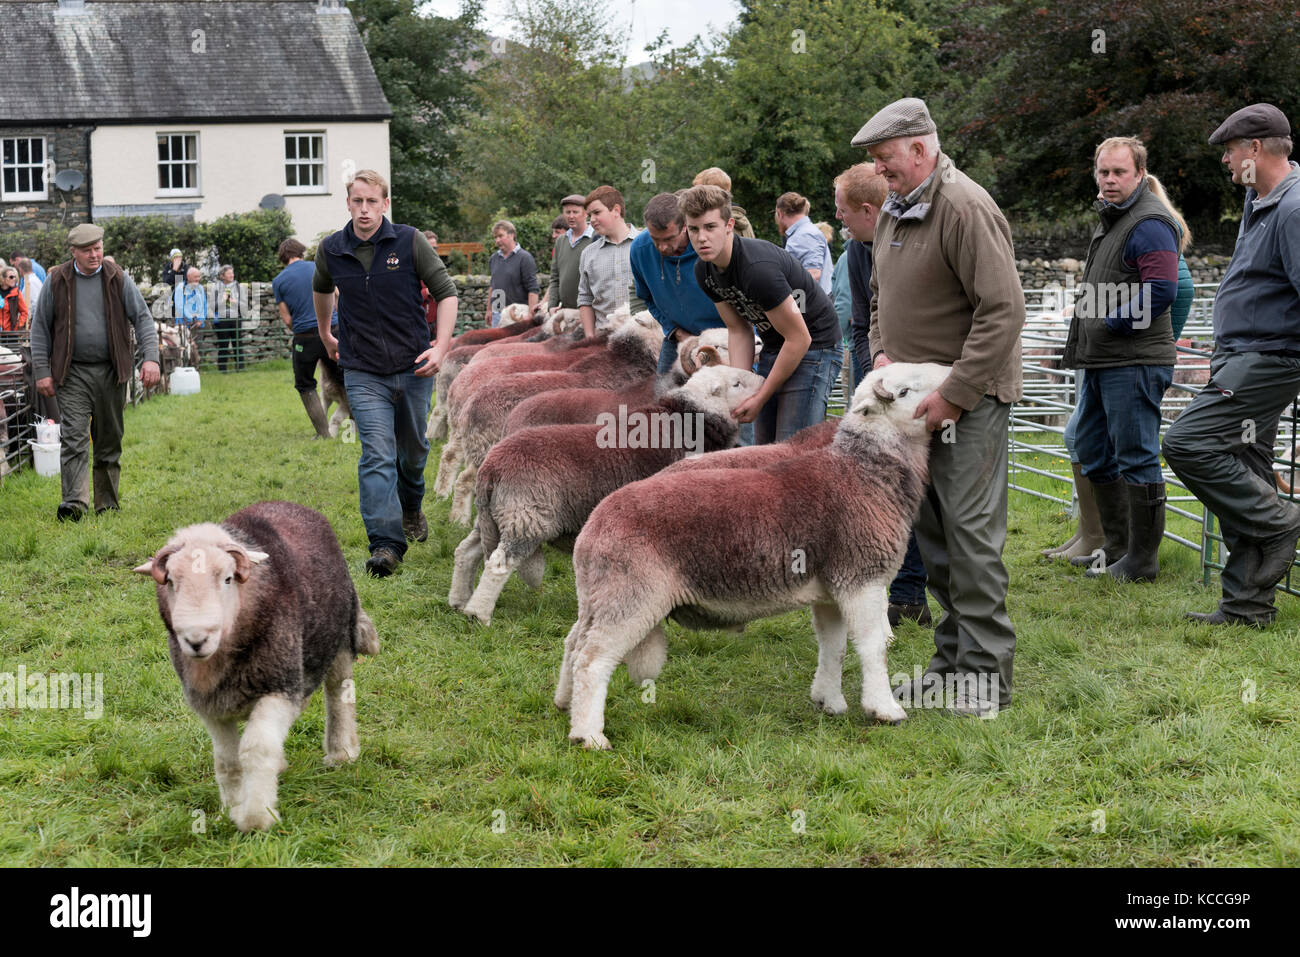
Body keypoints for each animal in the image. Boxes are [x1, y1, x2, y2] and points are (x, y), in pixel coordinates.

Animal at [134, 501, 379, 832]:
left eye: (227, 579)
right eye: (171, 581)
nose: (196, 640)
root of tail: (288, 504)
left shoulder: (277, 688)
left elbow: (256, 748)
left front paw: (256, 816)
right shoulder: (212, 705)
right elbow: (227, 760)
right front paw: (232, 807)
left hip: (338, 637)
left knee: (339, 695)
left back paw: (341, 752)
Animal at [449, 361, 764, 624]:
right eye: (736, 383)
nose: (763, 380)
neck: (692, 419)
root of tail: (492, 467)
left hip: (498, 515)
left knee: (466, 550)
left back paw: (458, 601)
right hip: (525, 518)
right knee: (498, 565)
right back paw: (479, 615)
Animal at [553, 361, 951, 748]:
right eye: (904, 392)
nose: (950, 381)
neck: (863, 472)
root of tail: (595, 524)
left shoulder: (831, 590)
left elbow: (832, 646)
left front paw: (829, 701)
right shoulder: (861, 579)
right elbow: (872, 647)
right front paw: (885, 709)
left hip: (600, 594)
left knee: (573, 644)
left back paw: (565, 704)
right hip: (631, 595)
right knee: (592, 660)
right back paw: (588, 734)